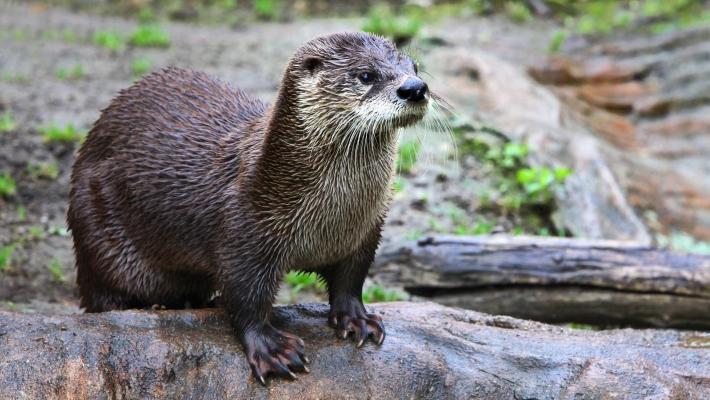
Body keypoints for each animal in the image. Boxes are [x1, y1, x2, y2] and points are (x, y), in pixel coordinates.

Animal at [69, 32, 432, 384]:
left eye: (414, 67)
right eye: (365, 75)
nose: (415, 88)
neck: (332, 218)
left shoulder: (366, 232)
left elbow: (350, 280)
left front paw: (357, 318)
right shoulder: (244, 230)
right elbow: (245, 296)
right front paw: (272, 348)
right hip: (96, 236)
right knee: (103, 297)